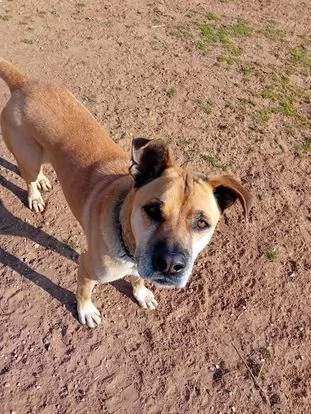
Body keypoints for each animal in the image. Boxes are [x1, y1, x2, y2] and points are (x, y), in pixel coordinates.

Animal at [0, 59, 254, 326]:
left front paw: (142, 294)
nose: (170, 265)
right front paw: (86, 311)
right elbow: (84, 291)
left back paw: (43, 180)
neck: (128, 244)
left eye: (202, 223)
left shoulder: (139, 266)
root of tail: (25, 83)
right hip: (28, 156)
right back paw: (35, 195)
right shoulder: (86, 266)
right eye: (152, 210)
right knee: (27, 176)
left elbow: (138, 278)